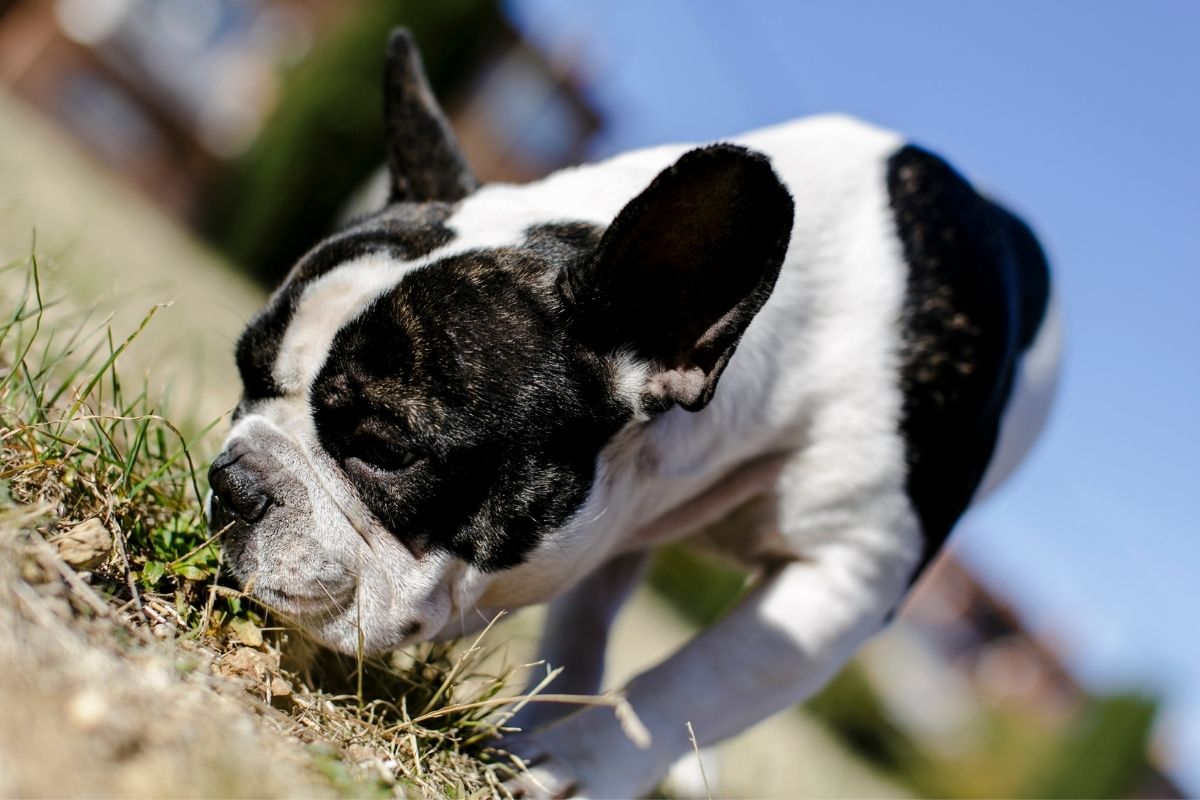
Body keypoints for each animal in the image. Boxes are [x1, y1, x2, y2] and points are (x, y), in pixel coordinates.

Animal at [206, 28, 1060, 796]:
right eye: (243, 370)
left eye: (385, 451)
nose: (233, 483)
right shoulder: (606, 521)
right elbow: (584, 629)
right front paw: (541, 734)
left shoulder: (849, 572)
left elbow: (700, 681)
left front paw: (578, 764)